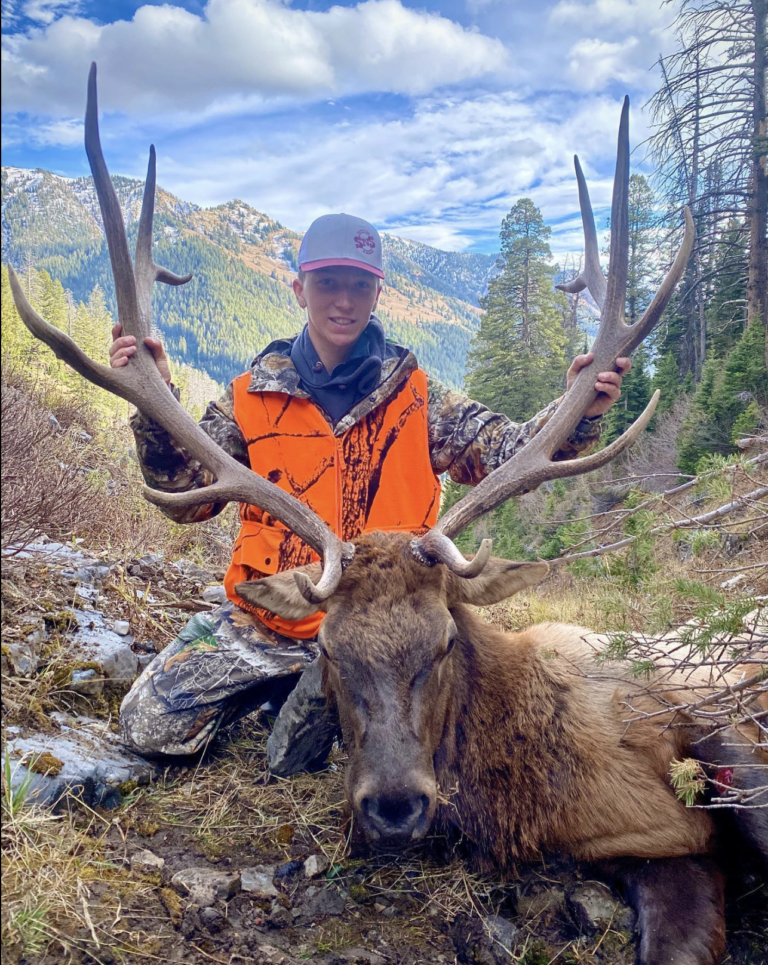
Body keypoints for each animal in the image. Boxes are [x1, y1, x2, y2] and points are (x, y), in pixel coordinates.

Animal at [9, 65, 766, 965]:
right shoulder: (658, 845)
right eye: (331, 651)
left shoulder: (695, 712)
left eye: (441, 645)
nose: (396, 806)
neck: (534, 787)